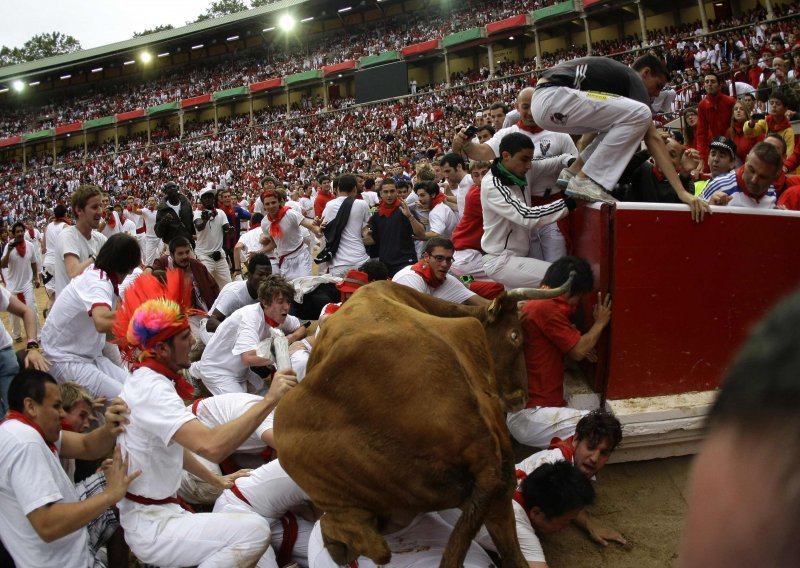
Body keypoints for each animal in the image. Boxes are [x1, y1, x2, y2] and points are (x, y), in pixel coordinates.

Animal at [276, 280, 576, 568]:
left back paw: (338, 544)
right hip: (501, 496)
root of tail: (481, 448)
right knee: (514, 556)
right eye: (515, 335)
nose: (520, 398)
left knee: (368, 542)